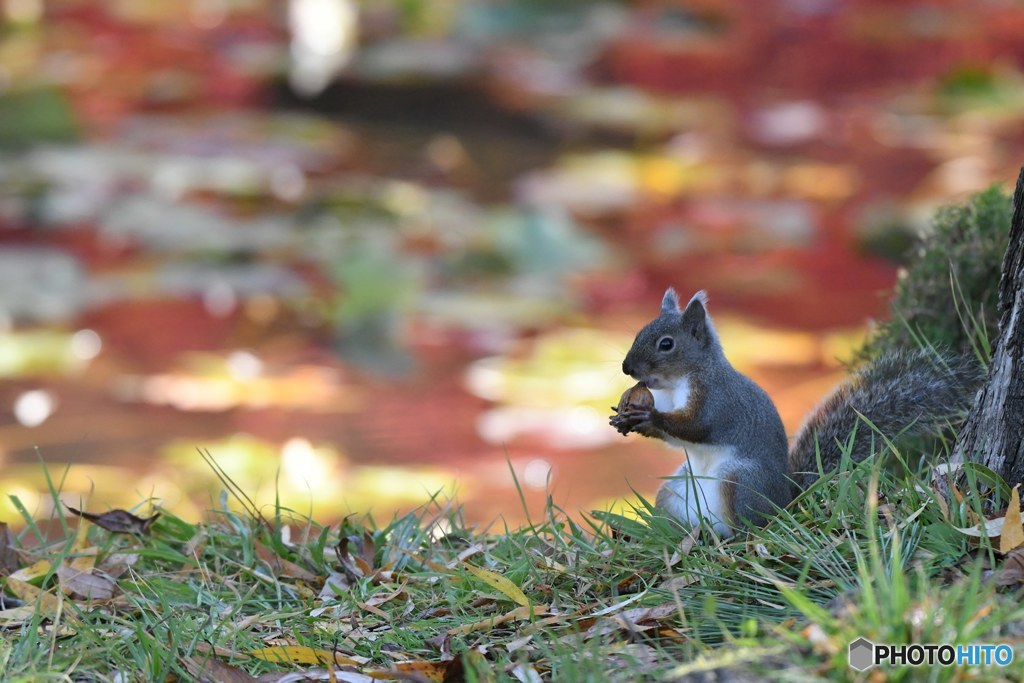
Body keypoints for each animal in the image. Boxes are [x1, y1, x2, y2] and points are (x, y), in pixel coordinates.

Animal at [610, 288, 978, 540]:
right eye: (640, 331)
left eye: (666, 344)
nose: (627, 368)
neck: (679, 383)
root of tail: (786, 501)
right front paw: (626, 416)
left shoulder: (718, 402)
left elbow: (696, 427)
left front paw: (648, 418)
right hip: (676, 489)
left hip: (741, 481)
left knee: (750, 528)